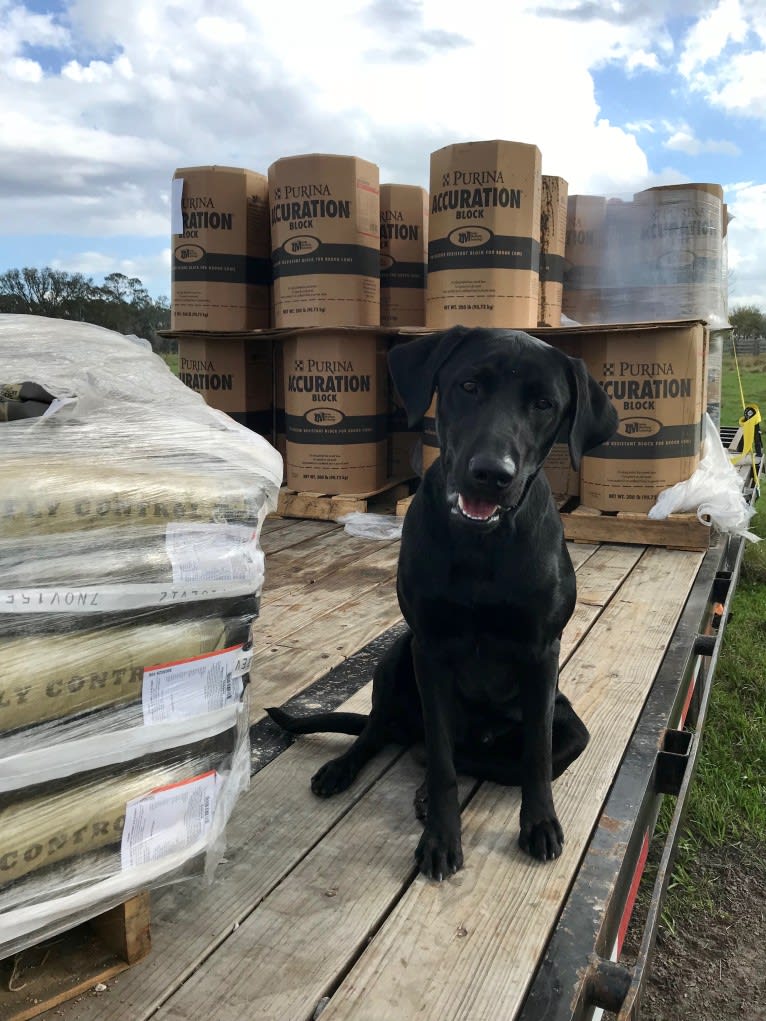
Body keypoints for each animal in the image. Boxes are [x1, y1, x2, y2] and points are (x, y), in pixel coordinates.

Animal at [269, 326, 616, 878]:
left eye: (544, 404)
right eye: (469, 385)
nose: (491, 473)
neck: (480, 544)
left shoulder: (542, 653)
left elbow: (536, 756)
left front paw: (538, 823)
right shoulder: (428, 648)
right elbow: (441, 757)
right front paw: (440, 837)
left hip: (567, 724)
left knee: (486, 754)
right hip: (395, 658)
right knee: (383, 732)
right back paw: (348, 768)